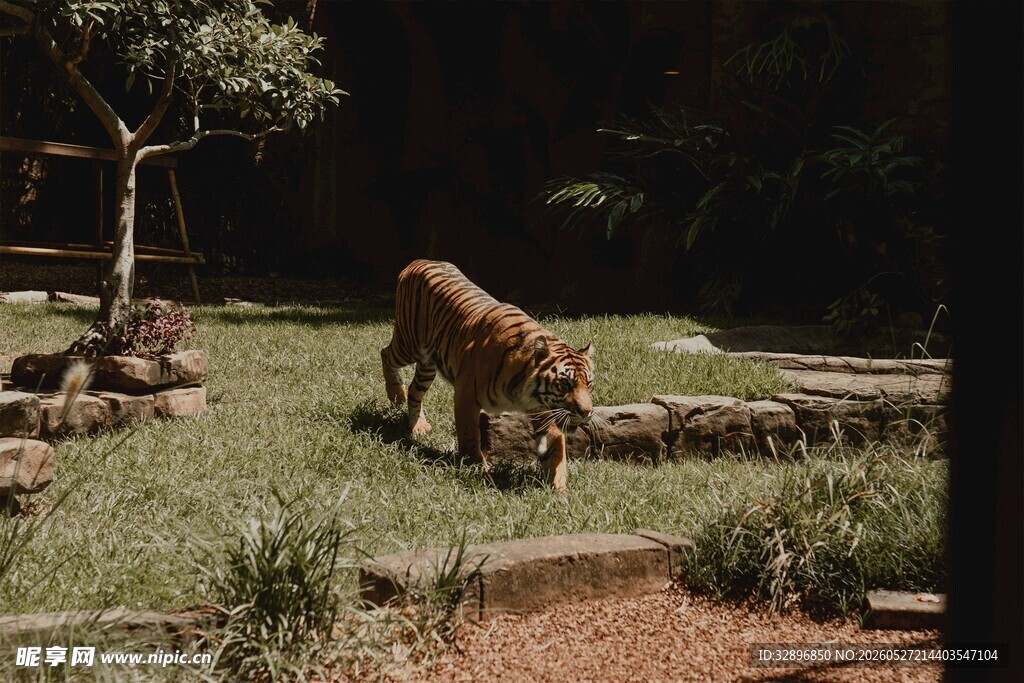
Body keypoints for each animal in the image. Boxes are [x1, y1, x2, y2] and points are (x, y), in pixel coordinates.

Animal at [381, 259, 595, 491]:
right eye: (565, 385)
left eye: (589, 384)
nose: (586, 412)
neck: (523, 392)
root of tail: (420, 261)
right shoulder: (466, 396)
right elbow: (470, 436)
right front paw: (478, 470)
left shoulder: (546, 411)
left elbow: (556, 452)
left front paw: (560, 488)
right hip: (408, 343)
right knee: (385, 354)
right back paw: (396, 394)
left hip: (428, 365)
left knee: (414, 390)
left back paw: (418, 426)